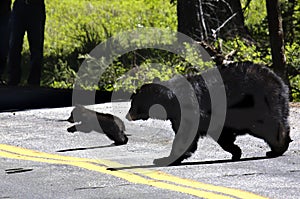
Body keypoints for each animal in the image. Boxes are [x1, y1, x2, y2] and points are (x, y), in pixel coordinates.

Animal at [126, 62, 290, 166]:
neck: (169, 100)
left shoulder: (189, 110)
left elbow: (185, 136)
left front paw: (164, 159)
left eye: (133, 104)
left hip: (259, 104)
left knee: (269, 126)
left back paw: (277, 148)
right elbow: (223, 136)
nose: (128, 115)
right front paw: (236, 151)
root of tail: (279, 82)